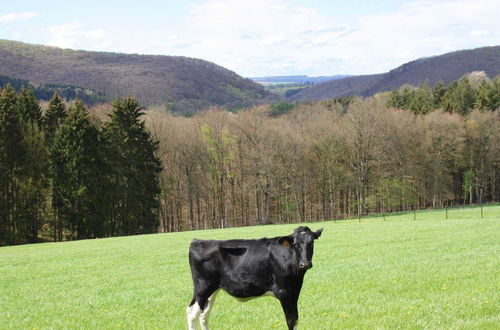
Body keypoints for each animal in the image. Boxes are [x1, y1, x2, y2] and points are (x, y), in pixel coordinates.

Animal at [186, 227, 322, 330]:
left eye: (311, 243)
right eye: (296, 244)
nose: (305, 264)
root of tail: (197, 241)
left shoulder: (294, 291)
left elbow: (295, 318)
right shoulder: (284, 292)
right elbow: (291, 320)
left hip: (213, 290)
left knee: (204, 315)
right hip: (202, 287)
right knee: (192, 313)